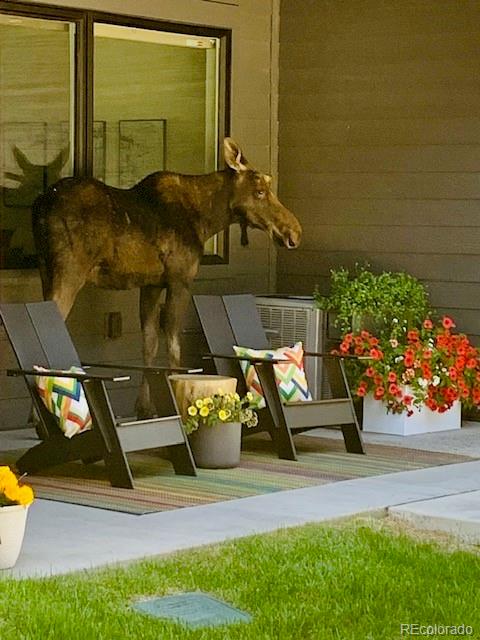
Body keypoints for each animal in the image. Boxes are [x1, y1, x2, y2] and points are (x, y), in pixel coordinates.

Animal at [33, 138, 302, 418]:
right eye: (259, 191)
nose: (294, 232)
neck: (207, 220)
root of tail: (39, 208)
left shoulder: (151, 284)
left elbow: (149, 343)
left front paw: (145, 407)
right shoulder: (180, 280)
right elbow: (174, 345)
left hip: (45, 270)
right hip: (69, 272)